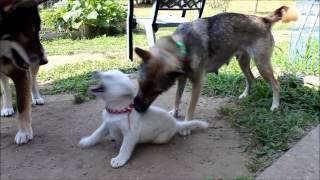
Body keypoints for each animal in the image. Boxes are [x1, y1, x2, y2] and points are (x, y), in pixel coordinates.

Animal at [0, 0, 47, 144]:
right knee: (5, 86)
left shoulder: (21, 73)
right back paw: (7, 107)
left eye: (37, 31)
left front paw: (24, 132)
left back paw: (36, 98)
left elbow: (22, 105)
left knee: (33, 80)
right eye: (27, 32)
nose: (45, 60)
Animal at [79, 69, 209, 168]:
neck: (117, 110)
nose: (94, 72)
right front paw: (87, 141)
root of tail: (176, 123)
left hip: (160, 139)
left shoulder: (130, 134)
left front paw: (119, 159)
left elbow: (124, 148)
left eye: (108, 76)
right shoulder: (106, 124)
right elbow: (96, 134)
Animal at [132, 5, 298, 135]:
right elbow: (177, 98)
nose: (137, 108)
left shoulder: (197, 84)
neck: (183, 45)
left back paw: (275, 106)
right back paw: (245, 95)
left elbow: (190, 107)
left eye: (157, 92)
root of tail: (263, 19)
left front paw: (186, 125)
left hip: (261, 64)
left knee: (275, 84)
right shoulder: (182, 79)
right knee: (251, 78)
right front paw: (175, 112)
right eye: (139, 85)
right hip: (243, 62)